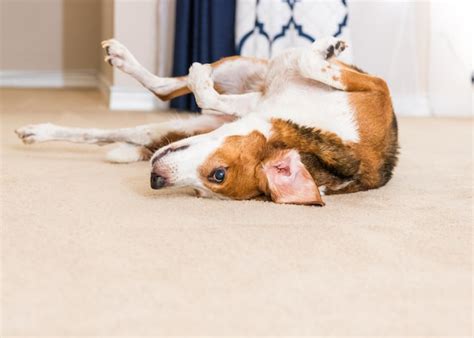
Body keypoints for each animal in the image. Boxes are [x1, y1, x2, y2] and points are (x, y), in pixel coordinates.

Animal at [14, 37, 398, 206]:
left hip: (181, 126)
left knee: (143, 113)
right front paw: (327, 48)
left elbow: (204, 94)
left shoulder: (376, 89)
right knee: (169, 86)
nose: (155, 181)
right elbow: (305, 59)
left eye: (214, 180)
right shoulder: (376, 87)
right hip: (237, 67)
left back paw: (38, 132)